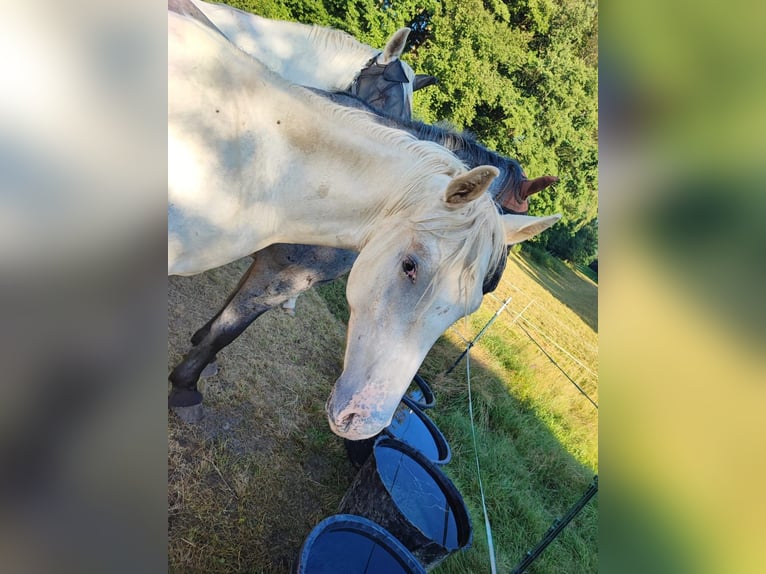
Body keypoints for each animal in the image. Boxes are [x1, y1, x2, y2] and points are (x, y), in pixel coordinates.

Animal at [170, 9, 564, 438]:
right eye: (409, 266)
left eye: (474, 300)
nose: (363, 422)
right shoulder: (281, 274)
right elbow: (227, 329)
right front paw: (186, 387)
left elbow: (222, 320)